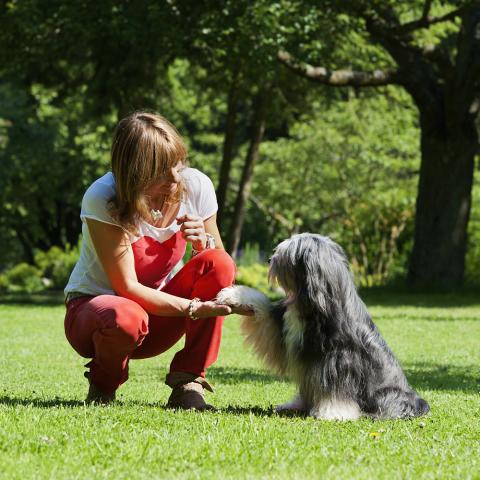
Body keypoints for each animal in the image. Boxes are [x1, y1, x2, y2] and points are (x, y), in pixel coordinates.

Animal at [216, 232, 430, 420]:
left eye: (286, 254)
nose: (269, 260)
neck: (316, 305)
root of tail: (417, 402)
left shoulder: (339, 361)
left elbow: (335, 391)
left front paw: (333, 413)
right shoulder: (283, 329)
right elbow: (263, 306)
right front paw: (233, 295)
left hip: (389, 396)